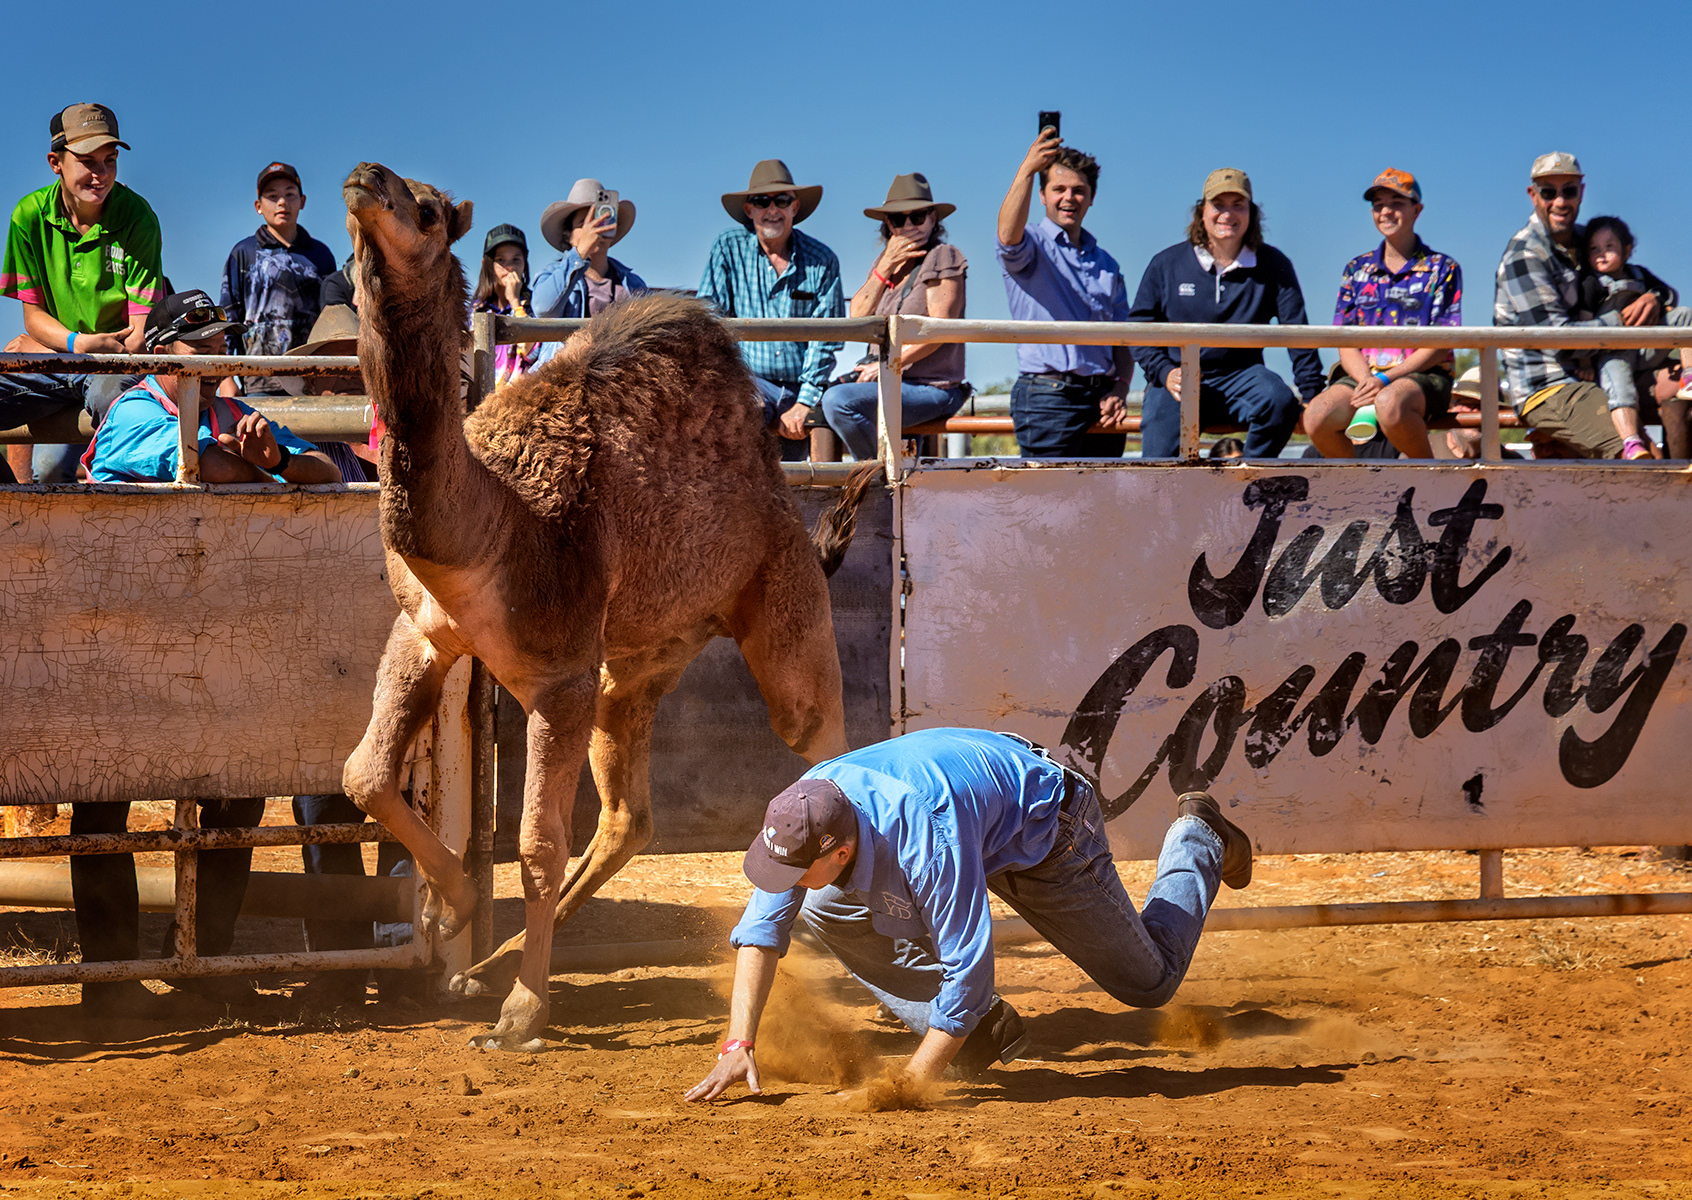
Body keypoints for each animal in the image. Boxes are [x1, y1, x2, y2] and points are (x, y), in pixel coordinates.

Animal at [338, 162, 880, 1051]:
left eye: (426, 208)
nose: (363, 179)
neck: (499, 523)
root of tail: (791, 507)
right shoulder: (425, 631)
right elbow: (366, 776)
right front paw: (452, 913)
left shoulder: (557, 674)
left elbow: (535, 844)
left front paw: (522, 1014)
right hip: (641, 663)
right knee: (632, 816)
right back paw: (487, 964)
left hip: (782, 600)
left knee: (818, 738)